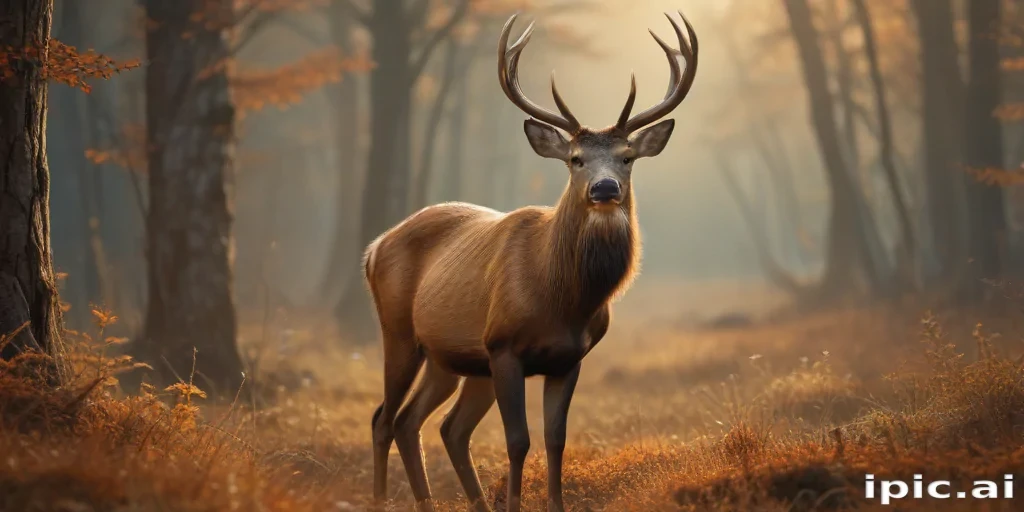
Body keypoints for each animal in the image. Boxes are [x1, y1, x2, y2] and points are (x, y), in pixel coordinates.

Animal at [364, 10, 697, 512]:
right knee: (385, 417)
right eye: (575, 159)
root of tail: (374, 246)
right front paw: (515, 503)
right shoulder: (504, 346)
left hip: (453, 358)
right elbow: (517, 440)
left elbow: (556, 438)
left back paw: (445, 503)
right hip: (400, 331)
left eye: (627, 158)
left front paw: (555, 504)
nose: (604, 188)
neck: (559, 298)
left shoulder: (569, 357)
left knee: (431, 424)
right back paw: (383, 499)